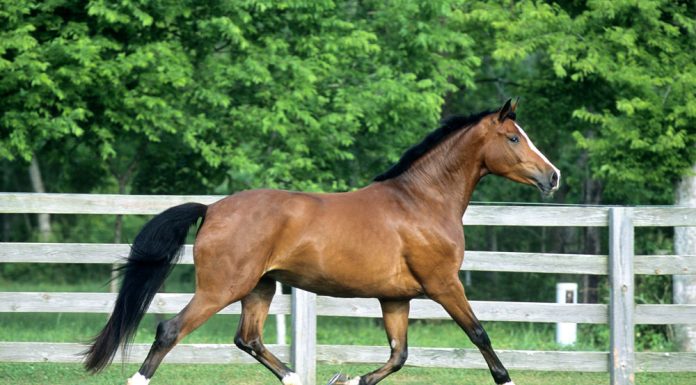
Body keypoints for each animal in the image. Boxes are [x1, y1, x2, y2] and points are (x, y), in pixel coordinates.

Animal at [83, 99, 560, 384]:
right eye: (514, 137)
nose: (552, 177)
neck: (420, 202)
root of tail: (213, 209)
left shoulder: (396, 298)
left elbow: (399, 354)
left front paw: (351, 379)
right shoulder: (444, 284)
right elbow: (479, 333)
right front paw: (507, 378)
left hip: (261, 287)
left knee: (249, 339)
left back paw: (297, 378)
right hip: (222, 288)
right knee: (170, 330)